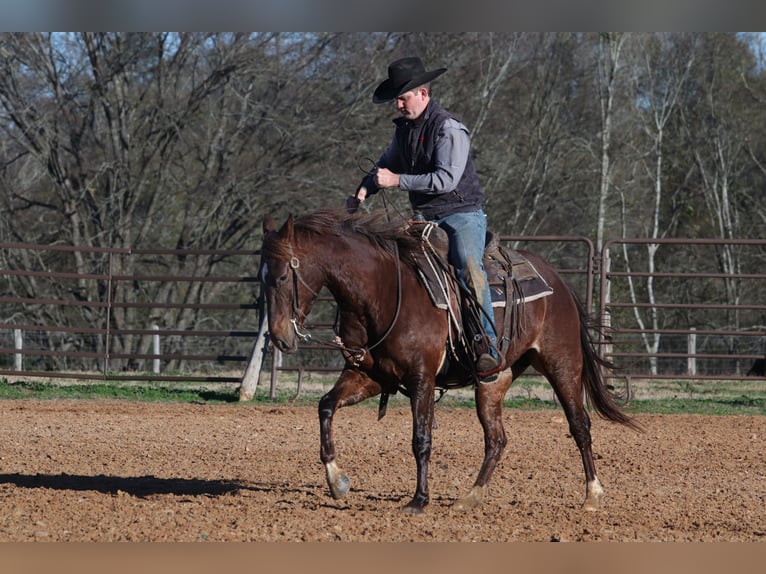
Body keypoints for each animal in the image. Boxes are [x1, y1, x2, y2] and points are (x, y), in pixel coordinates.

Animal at [260, 209, 640, 516]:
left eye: (282, 276)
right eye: (260, 277)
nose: (279, 337)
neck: (381, 290)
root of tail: (557, 281)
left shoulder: (421, 378)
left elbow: (421, 438)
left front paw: (418, 500)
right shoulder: (370, 375)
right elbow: (325, 406)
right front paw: (337, 481)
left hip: (562, 364)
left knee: (580, 425)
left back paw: (592, 495)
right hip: (493, 380)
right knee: (496, 439)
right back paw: (471, 497)